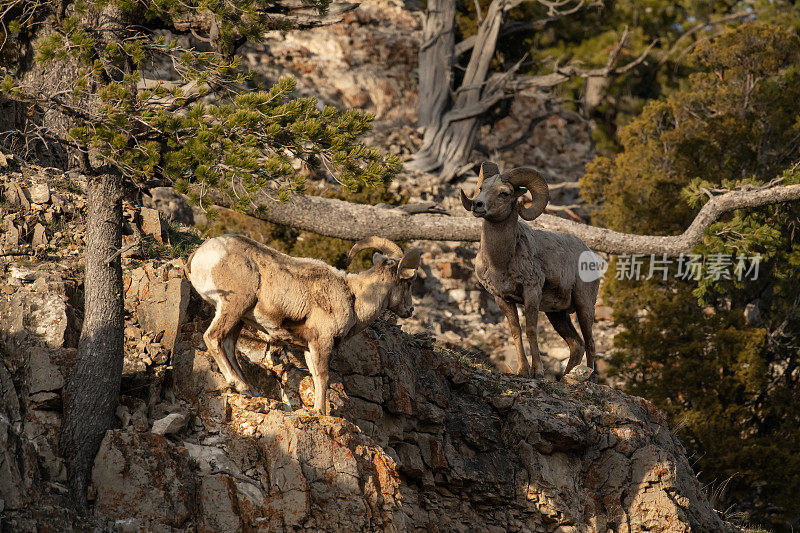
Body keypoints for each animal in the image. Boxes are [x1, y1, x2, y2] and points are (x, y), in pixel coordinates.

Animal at [186, 235, 424, 414]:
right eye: (408, 282)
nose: (410, 310)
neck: (354, 297)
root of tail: (199, 255)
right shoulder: (322, 341)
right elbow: (323, 377)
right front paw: (320, 412)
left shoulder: (309, 347)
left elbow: (316, 377)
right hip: (233, 306)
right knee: (212, 337)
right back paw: (239, 385)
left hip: (239, 318)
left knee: (228, 346)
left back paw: (248, 389)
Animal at [462, 162, 600, 378]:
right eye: (481, 188)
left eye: (504, 193)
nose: (478, 205)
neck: (499, 262)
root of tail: (589, 254)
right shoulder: (502, 299)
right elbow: (516, 332)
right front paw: (522, 371)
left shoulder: (531, 293)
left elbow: (531, 330)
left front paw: (537, 372)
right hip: (557, 315)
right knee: (576, 344)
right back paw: (564, 379)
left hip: (584, 306)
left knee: (590, 343)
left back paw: (587, 377)